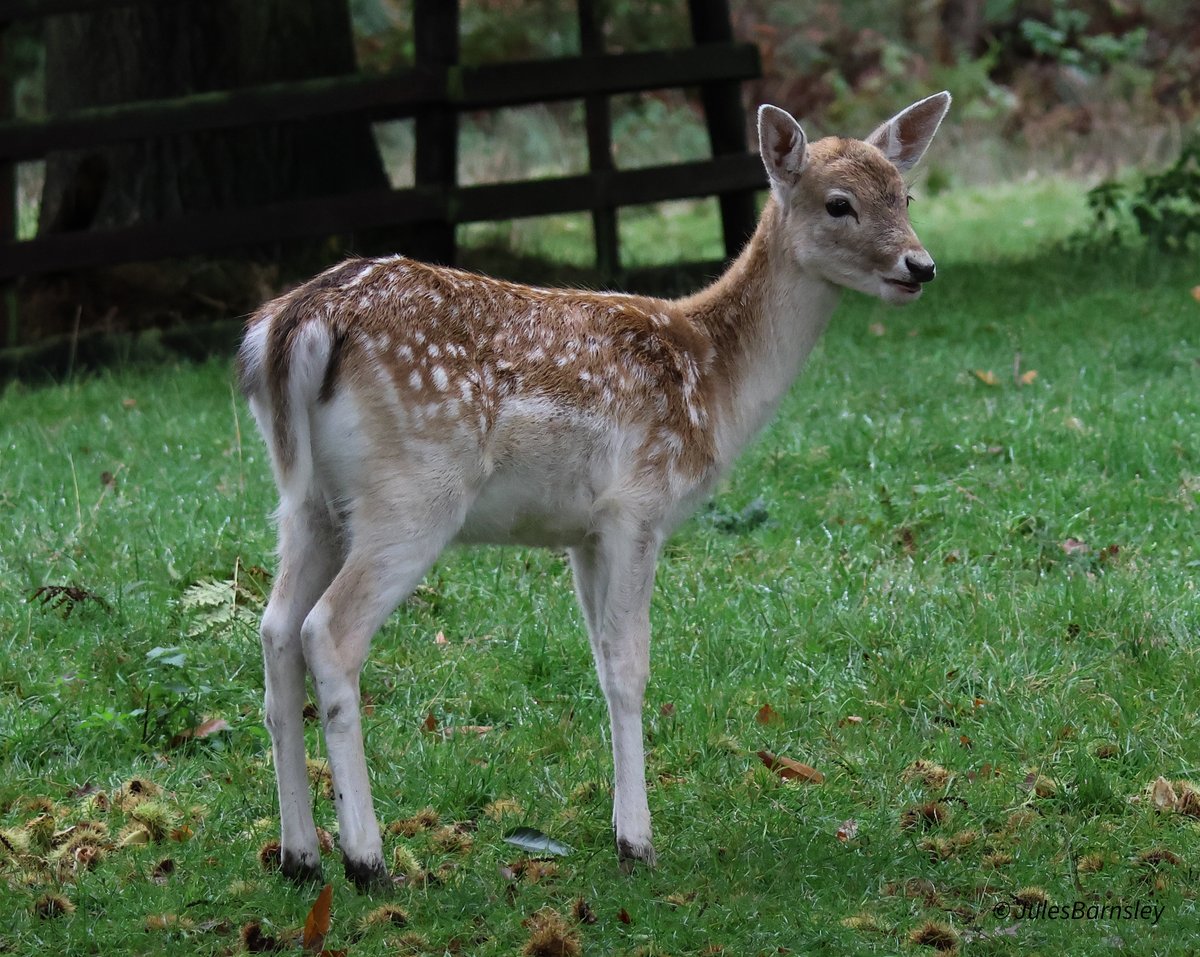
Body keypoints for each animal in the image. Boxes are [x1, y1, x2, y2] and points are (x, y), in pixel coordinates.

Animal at [237, 91, 951, 889]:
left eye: (905, 194)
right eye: (838, 203)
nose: (920, 266)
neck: (713, 385)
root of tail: (298, 322)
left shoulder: (579, 531)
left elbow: (602, 661)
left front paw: (618, 828)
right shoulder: (638, 505)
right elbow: (631, 665)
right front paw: (638, 841)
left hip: (307, 501)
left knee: (274, 630)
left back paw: (299, 855)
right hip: (413, 491)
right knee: (327, 632)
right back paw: (368, 859)